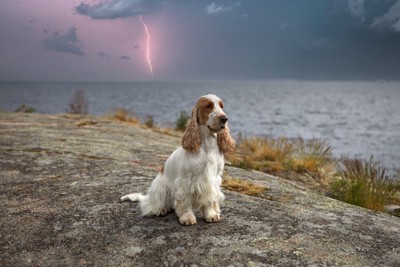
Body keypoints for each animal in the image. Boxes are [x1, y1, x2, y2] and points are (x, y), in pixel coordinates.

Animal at [120, 94, 236, 226]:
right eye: (208, 106)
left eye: (221, 106)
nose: (224, 118)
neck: (206, 144)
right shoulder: (185, 180)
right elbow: (185, 201)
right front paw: (187, 218)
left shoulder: (213, 179)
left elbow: (211, 199)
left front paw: (211, 215)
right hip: (161, 189)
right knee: (150, 205)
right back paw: (161, 210)